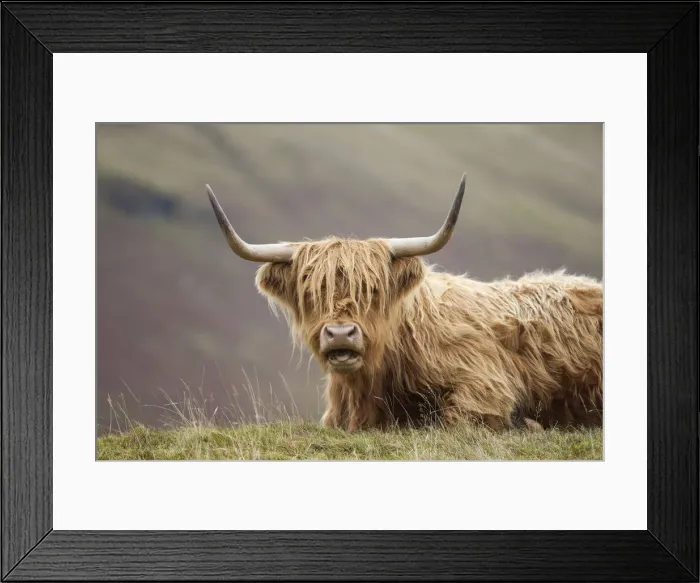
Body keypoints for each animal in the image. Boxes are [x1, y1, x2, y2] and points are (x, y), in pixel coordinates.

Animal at [205, 175, 603, 433]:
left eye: (373, 290)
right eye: (311, 291)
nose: (340, 334)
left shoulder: (484, 384)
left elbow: (458, 419)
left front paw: (529, 424)